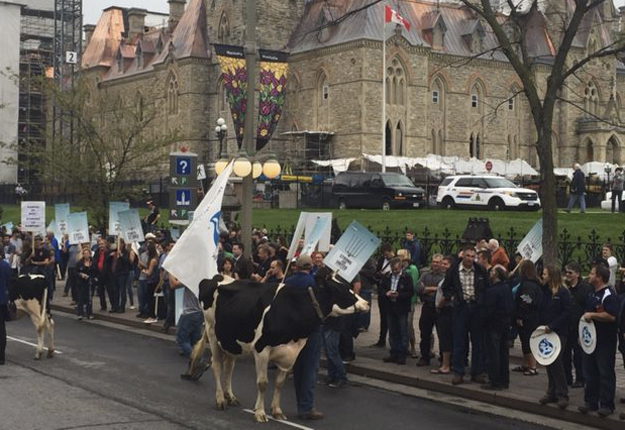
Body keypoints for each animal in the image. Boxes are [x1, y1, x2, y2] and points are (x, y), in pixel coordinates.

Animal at [193, 262, 368, 424]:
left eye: (349, 286)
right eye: (340, 290)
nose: (366, 303)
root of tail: (215, 277)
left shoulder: (290, 353)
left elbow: (279, 383)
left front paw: (277, 411)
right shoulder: (261, 349)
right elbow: (263, 383)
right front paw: (260, 413)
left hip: (230, 339)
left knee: (229, 366)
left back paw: (230, 397)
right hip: (212, 332)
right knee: (216, 365)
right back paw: (220, 400)